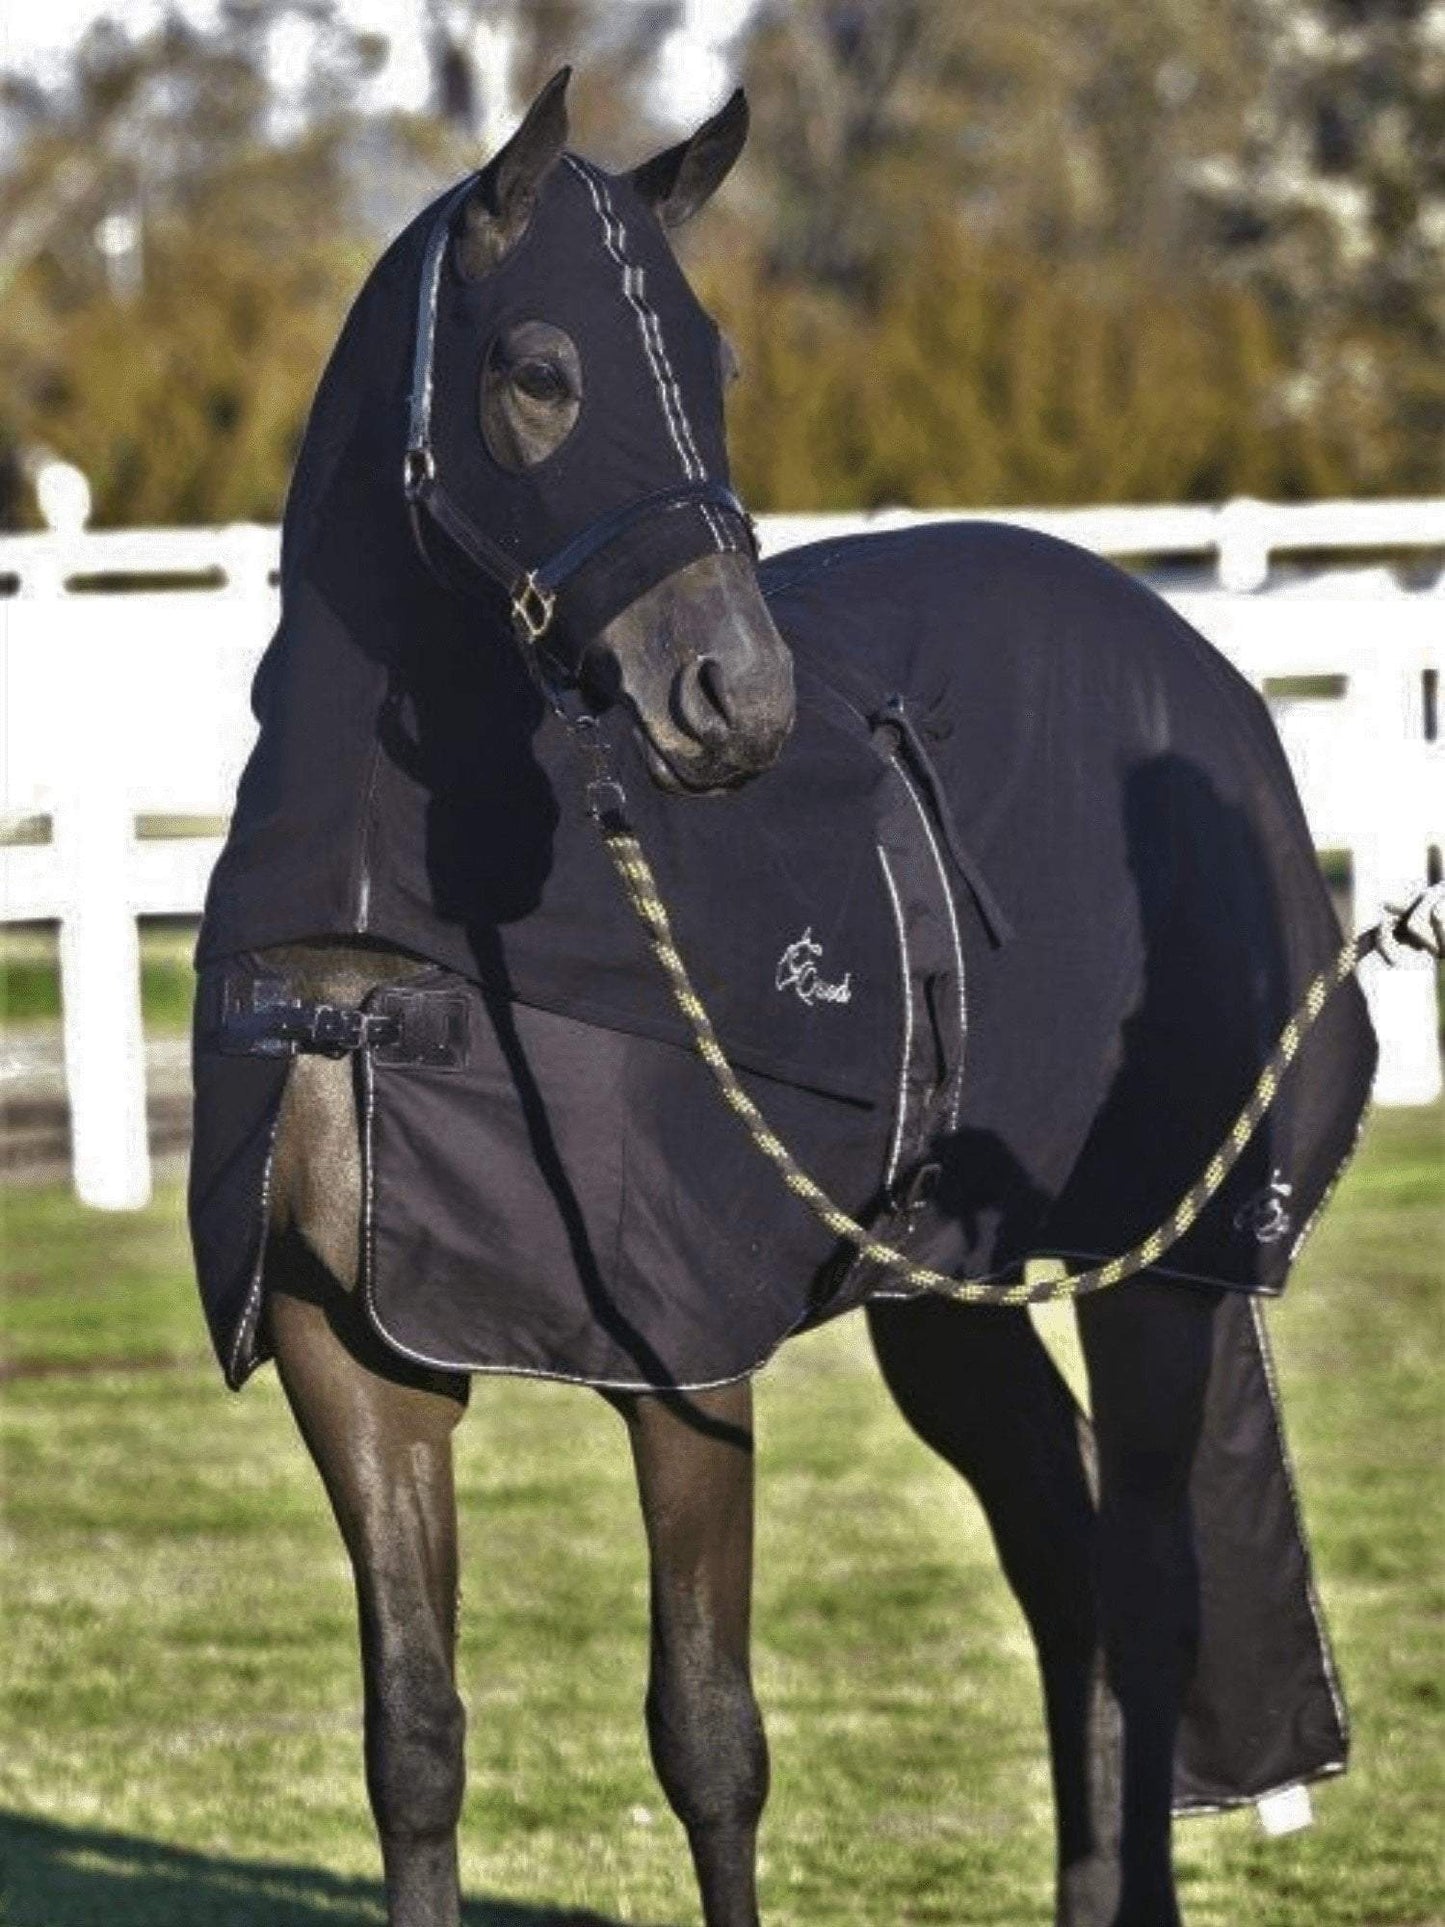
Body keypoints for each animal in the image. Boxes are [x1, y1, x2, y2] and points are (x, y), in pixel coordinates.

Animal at [186, 67, 1433, 1927]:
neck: (395, 956)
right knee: (1065, 1555)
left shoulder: (683, 1364)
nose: (735, 698)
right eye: (539, 371)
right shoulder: (354, 1358)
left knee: (1147, 1578)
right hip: (946, 1288)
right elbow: (412, 1737)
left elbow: (708, 1733)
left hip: (1166, 1267)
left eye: (715, 372)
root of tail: (1198, 663)